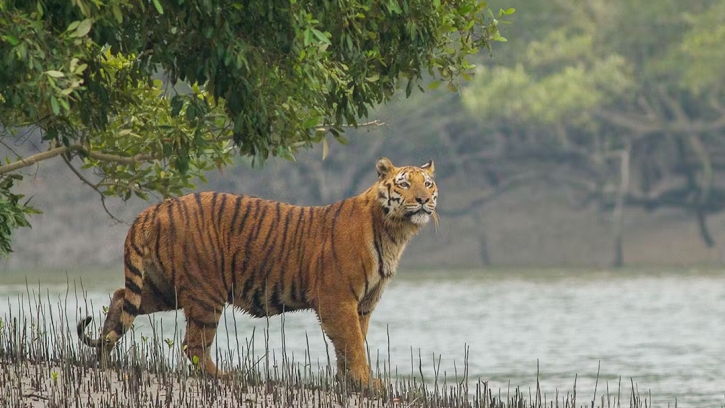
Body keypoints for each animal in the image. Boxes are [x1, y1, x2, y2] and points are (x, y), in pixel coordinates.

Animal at [79, 157, 438, 388]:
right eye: (405, 184)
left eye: (428, 183)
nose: (423, 200)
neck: (395, 232)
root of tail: (154, 208)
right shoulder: (338, 300)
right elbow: (352, 343)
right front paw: (366, 383)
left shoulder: (363, 304)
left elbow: (350, 344)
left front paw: (348, 381)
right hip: (205, 292)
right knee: (193, 345)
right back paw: (223, 376)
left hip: (164, 287)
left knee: (121, 298)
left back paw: (103, 357)